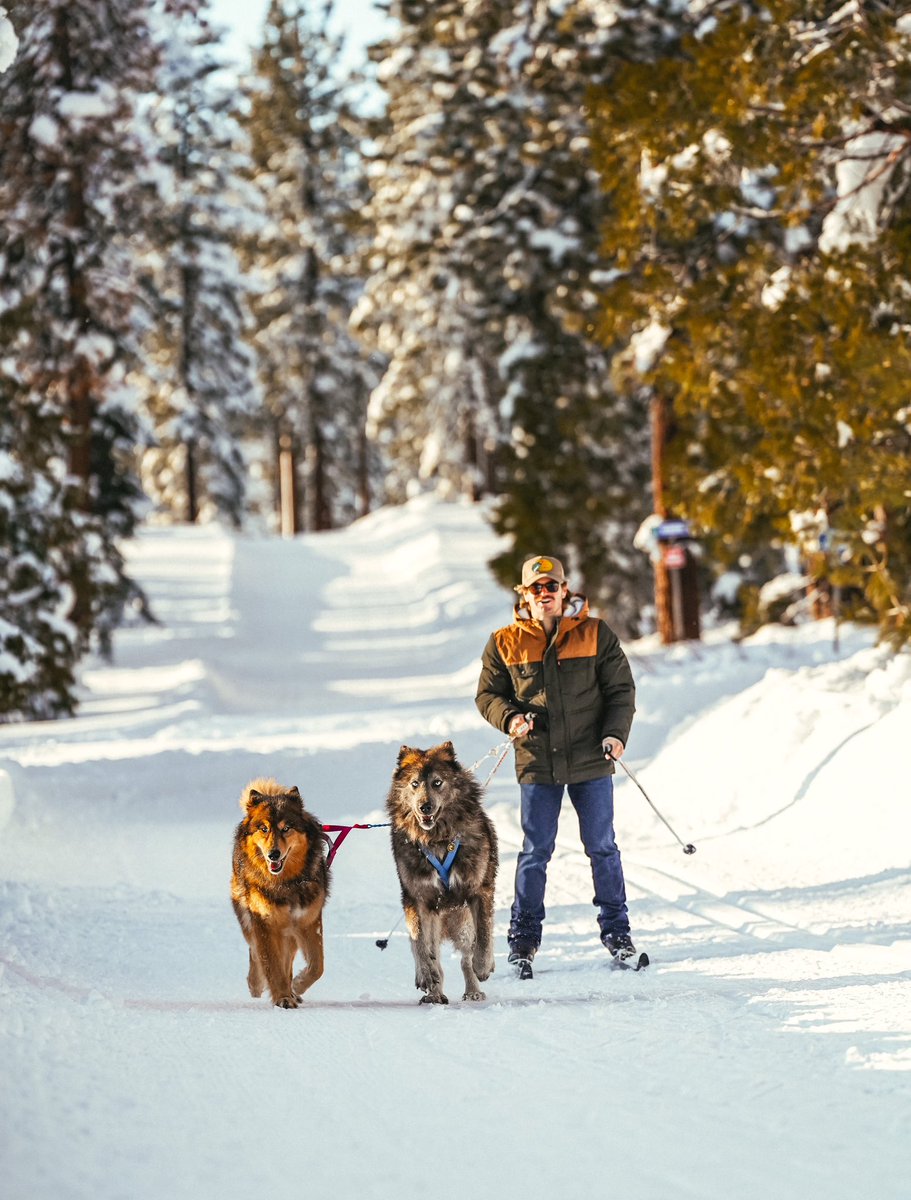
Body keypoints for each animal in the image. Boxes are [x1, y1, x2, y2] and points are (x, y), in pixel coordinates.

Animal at [231, 778, 330, 1008]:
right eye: (264, 828)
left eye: (286, 828)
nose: (273, 854)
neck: (286, 883)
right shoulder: (265, 924)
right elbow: (272, 966)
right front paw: (283, 997)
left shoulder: (309, 921)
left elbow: (317, 966)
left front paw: (296, 986)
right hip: (252, 921)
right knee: (255, 952)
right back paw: (256, 984)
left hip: (289, 933)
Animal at [386, 741, 498, 1004]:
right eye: (414, 784)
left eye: (437, 782)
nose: (424, 806)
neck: (436, 839)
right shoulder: (417, 899)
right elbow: (420, 944)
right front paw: (426, 974)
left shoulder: (479, 891)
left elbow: (484, 935)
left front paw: (483, 966)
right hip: (433, 919)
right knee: (432, 953)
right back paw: (433, 991)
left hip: (463, 922)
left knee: (466, 956)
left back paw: (473, 989)